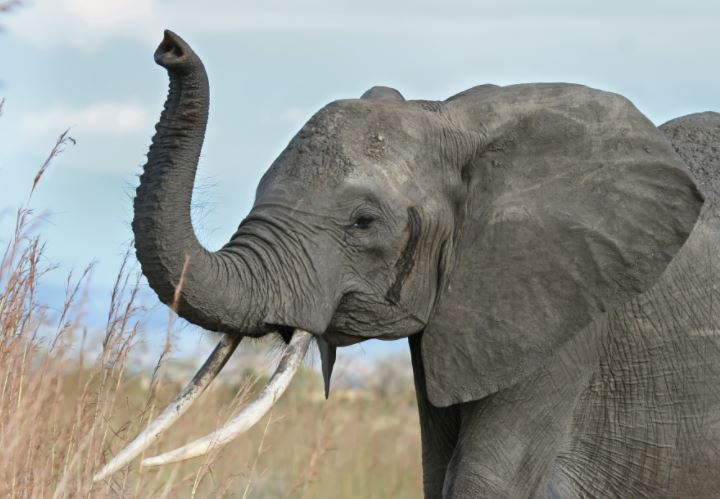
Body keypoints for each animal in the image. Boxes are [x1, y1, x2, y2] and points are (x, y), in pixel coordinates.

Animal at [94, 29, 720, 498]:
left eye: (364, 222)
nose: (169, 46)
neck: (455, 120)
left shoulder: (563, 321)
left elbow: (483, 483)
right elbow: (436, 473)